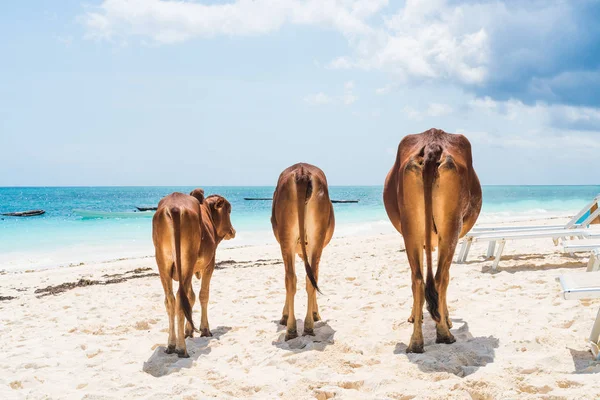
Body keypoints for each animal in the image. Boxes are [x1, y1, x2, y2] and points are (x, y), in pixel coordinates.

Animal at [151, 189, 236, 358]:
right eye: (229, 210)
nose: (232, 231)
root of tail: (174, 207)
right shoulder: (210, 263)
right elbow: (203, 295)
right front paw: (204, 329)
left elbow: (190, 297)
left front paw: (188, 330)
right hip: (186, 263)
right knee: (179, 298)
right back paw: (181, 349)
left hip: (163, 264)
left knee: (171, 299)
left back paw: (171, 344)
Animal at [384, 128, 482, 354]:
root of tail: (432, 144)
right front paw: (445, 319)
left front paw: (417, 316)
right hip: (451, 227)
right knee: (440, 278)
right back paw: (444, 333)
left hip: (411, 228)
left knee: (418, 279)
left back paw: (416, 342)